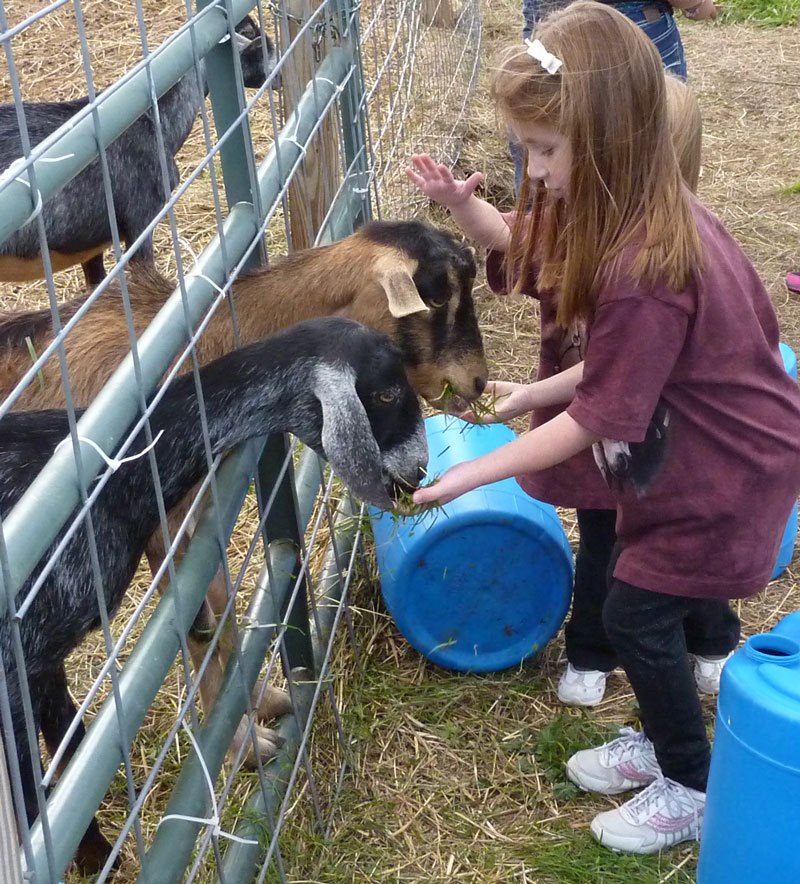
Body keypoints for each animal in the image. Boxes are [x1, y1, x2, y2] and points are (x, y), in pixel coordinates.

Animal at [0, 223, 488, 768]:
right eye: (437, 294)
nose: (478, 381)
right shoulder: (160, 524)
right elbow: (192, 628)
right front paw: (244, 744)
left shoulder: (200, 514)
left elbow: (219, 609)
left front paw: (259, 702)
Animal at [1, 314, 432, 872]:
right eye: (385, 393)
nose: (419, 469)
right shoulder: (19, 654)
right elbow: (31, 788)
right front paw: (94, 855)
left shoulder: (44, 649)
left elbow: (66, 734)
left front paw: (91, 846)